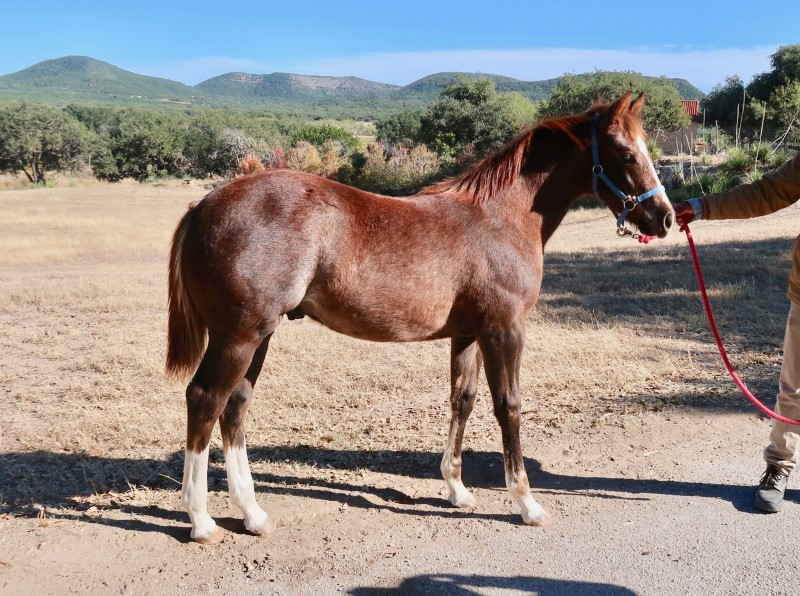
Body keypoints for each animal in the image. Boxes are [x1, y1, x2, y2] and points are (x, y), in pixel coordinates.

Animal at [166, 91, 672, 544]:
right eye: (626, 154)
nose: (664, 217)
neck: (499, 219)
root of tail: (203, 206)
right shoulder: (504, 329)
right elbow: (508, 405)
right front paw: (527, 503)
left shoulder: (468, 334)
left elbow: (462, 400)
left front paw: (457, 489)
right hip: (238, 337)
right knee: (205, 400)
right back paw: (201, 521)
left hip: (260, 335)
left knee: (235, 406)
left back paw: (253, 514)